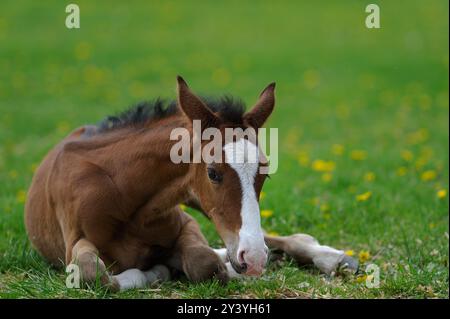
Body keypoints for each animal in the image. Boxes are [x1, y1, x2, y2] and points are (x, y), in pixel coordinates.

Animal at [24, 77, 356, 292]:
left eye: (264, 174)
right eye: (212, 173)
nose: (253, 259)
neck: (123, 192)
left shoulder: (186, 223)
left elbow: (203, 260)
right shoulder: (74, 239)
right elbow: (93, 274)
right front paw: (160, 269)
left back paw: (331, 257)